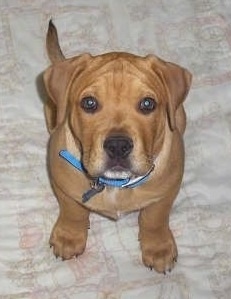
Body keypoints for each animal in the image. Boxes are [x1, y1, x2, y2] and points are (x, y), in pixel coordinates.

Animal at [42, 20, 191, 274]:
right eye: (89, 103)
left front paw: (158, 248)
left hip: (180, 115)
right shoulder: (62, 185)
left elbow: (155, 217)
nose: (118, 146)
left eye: (147, 104)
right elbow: (73, 211)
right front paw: (69, 236)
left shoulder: (168, 189)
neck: (115, 184)